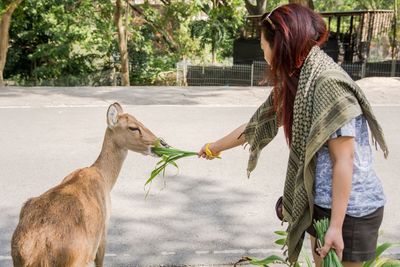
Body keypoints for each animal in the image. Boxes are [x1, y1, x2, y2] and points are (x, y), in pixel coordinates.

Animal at [10, 103, 165, 267]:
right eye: (133, 127)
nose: (162, 143)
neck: (104, 178)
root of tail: (32, 252)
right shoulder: (103, 232)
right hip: (77, 259)